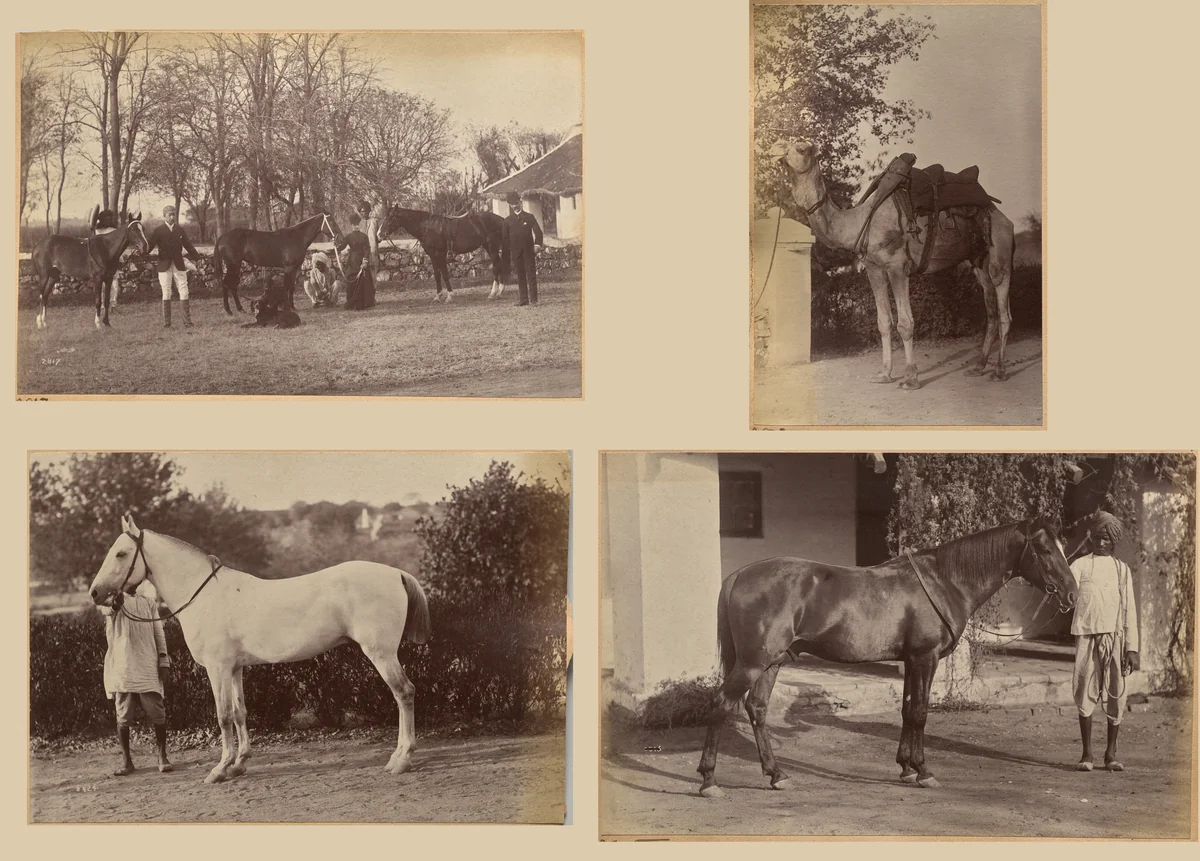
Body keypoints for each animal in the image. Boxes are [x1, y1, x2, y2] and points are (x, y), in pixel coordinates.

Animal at [87, 514, 431, 784]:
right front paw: (239, 764)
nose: (95, 593)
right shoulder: (235, 668)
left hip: (381, 653)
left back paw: (402, 759)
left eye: (121, 553)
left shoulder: (218, 668)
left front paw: (220, 769)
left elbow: (224, 715)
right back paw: (397, 757)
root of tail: (396, 573)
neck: (204, 595)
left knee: (404, 693)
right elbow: (241, 713)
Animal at [213, 213, 342, 315]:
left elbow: (291, 287)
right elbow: (286, 287)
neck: (296, 237)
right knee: (227, 284)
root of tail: (222, 237)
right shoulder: (288, 268)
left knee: (231, 285)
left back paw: (239, 309)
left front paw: (292, 307)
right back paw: (229, 310)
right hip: (233, 265)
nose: (340, 240)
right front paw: (286, 307)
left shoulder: (295, 268)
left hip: (235, 265)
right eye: (332, 222)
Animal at [697, 517, 1077, 797]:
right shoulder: (926, 658)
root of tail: (739, 575)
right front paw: (924, 771)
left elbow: (908, 710)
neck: (945, 581)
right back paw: (709, 780)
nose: (1072, 594)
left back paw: (777, 775)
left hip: (772, 662)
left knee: (757, 709)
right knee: (720, 703)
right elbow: (921, 713)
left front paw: (906, 768)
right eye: (1045, 549)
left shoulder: (910, 660)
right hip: (753, 663)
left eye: (1063, 547)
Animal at [769, 139, 1016, 390]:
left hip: (1000, 250)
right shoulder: (874, 268)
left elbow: (905, 323)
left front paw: (910, 377)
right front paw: (884, 374)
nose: (773, 149)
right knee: (991, 310)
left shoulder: (898, 266)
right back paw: (978, 367)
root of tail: (1003, 215)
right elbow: (883, 322)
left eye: (801, 148)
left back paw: (999, 371)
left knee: (1004, 311)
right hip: (978, 260)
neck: (858, 222)